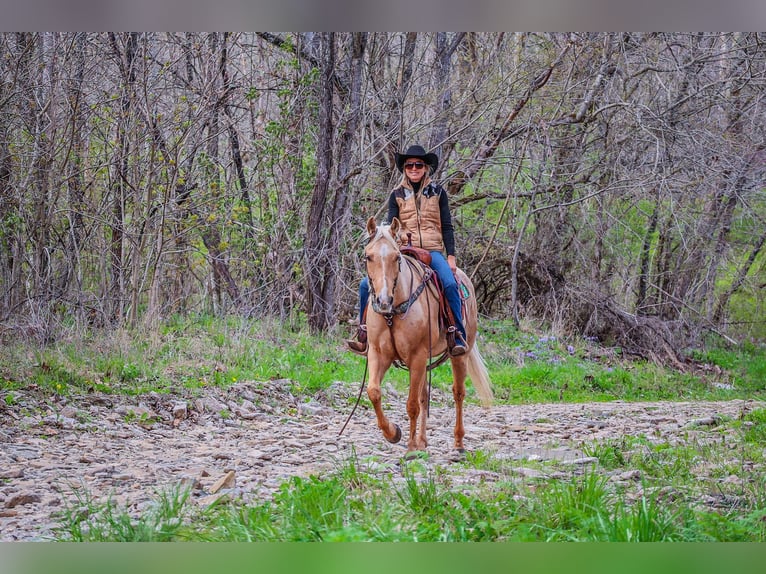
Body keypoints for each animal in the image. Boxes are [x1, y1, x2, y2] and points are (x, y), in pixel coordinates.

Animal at [360, 215, 492, 454]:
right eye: (368, 256)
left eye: (396, 257)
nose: (383, 301)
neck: (393, 313)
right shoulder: (378, 354)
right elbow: (374, 391)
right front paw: (394, 433)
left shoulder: (417, 356)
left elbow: (412, 404)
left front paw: (411, 447)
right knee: (424, 395)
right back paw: (422, 440)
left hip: (460, 354)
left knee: (458, 393)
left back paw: (458, 443)